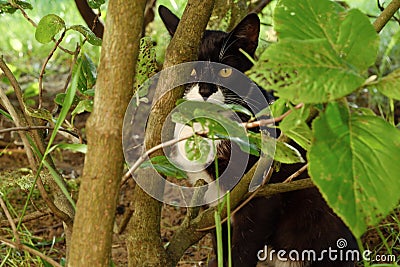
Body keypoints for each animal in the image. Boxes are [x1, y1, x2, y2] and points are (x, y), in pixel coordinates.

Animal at [158, 6, 358, 267]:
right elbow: (219, 239)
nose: (205, 89)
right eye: (191, 68)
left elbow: (244, 248)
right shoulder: (210, 198)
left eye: (226, 70)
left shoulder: (262, 193)